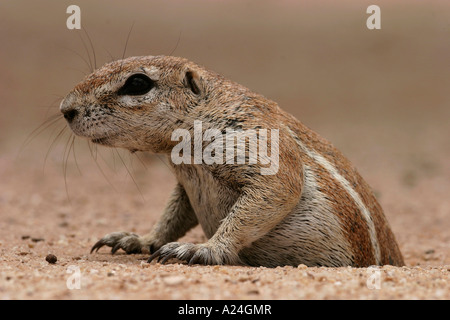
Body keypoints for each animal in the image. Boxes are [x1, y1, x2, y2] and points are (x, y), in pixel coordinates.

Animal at [59, 55, 404, 268]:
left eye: (137, 83)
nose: (66, 109)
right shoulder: (186, 186)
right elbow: (172, 216)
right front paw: (140, 239)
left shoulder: (254, 141)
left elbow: (277, 188)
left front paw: (204, 249)